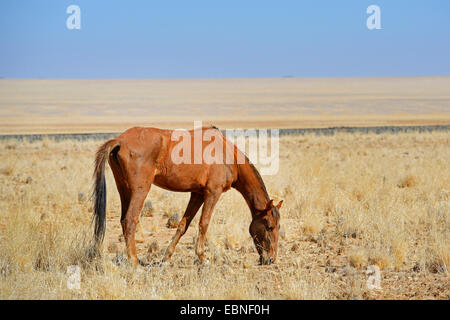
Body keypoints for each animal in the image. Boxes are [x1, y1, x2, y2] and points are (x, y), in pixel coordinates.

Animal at [91, 126, 282, 266]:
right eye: (270, 227)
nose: (271, 259)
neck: (226, 154)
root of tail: (120, 141)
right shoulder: (212, 192)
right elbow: (204, 224)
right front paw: (203, 258)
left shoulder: (197, 194)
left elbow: (183, 225)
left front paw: (166, 258)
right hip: (139, 190)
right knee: (130, 220)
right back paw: (135, 263)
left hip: (124, 189)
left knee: (123, 220)